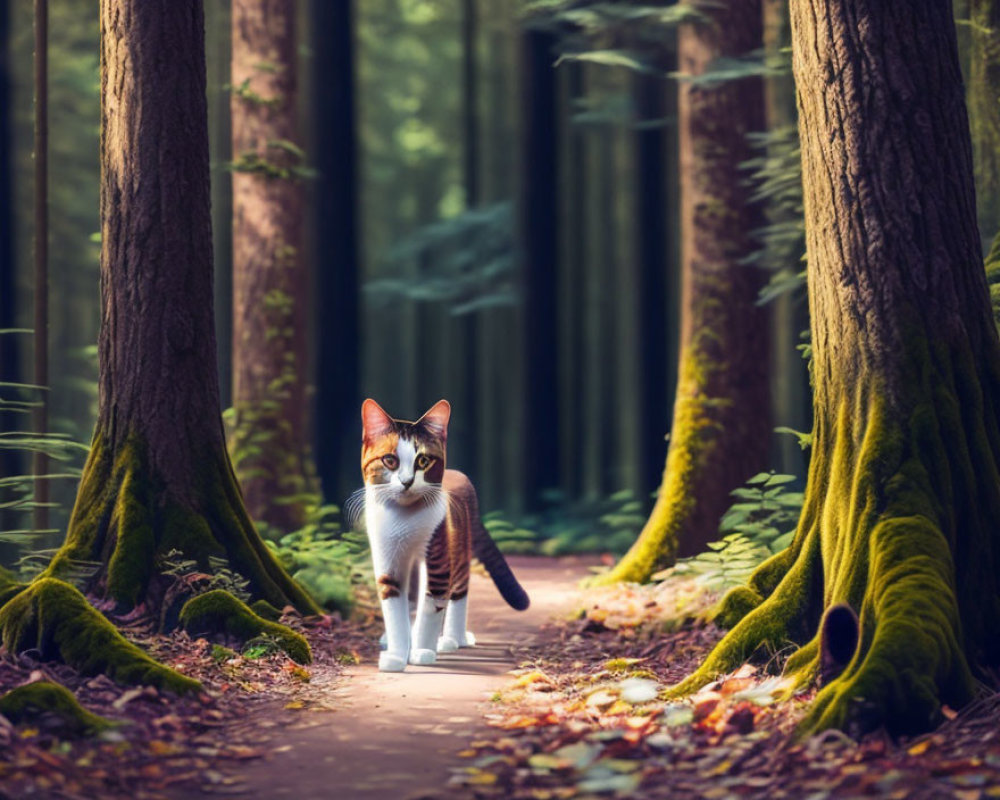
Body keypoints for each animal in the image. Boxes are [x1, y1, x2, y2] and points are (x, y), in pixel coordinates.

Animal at [354, 396, 528, 672]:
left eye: (423, 461)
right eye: (390, 460)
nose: (406, 481)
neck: (403, 520)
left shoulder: (437, 554)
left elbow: (430, 609)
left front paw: (422, 651)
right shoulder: (387, 561)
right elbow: (395, 611)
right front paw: (397, 655)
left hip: (460, 546)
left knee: (458, 592)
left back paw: (451, 639)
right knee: (413, 601)